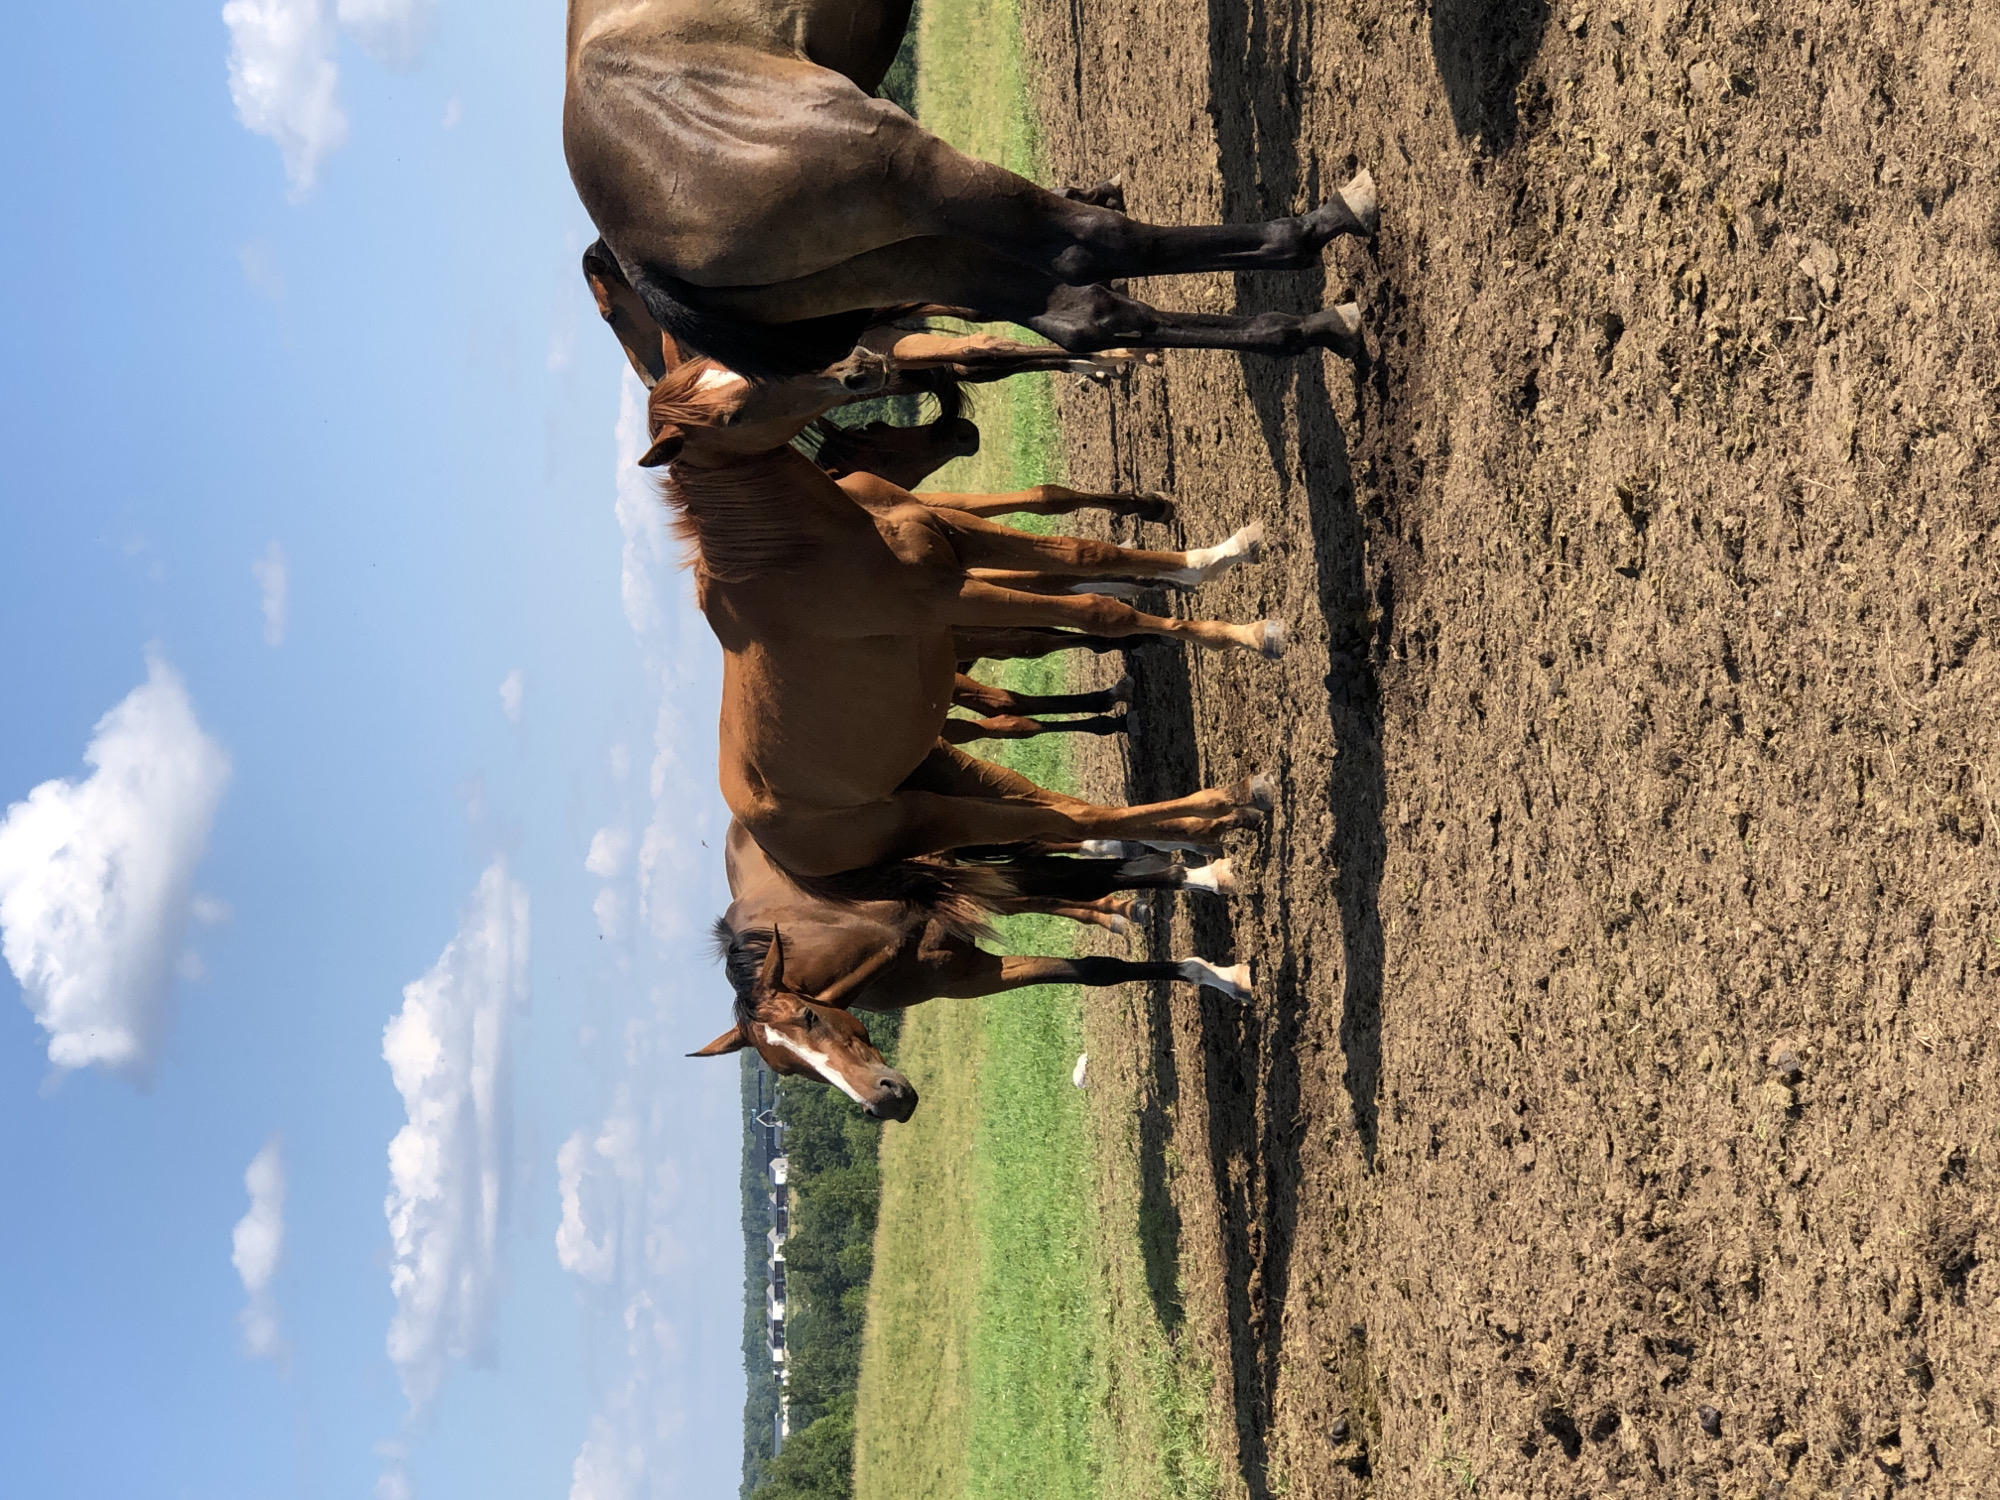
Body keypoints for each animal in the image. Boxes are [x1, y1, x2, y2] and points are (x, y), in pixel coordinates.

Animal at [564, 0, 1377, 379]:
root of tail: (633, 248)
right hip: (916, 173)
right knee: (1090, 246)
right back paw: (1325, 225)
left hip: (905, 254)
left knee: (1083, 316)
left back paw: (1313, 328)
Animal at [687, 820, 1242, 1119]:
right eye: (788, 1071)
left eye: (809, 1017)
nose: (885, 1104)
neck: (842, 923)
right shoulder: (971, 976)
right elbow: (1093, 969)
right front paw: (1220, 976)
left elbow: (1072, 878)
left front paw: (1212, 881)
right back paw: (1126, 897)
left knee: (1044, 852)